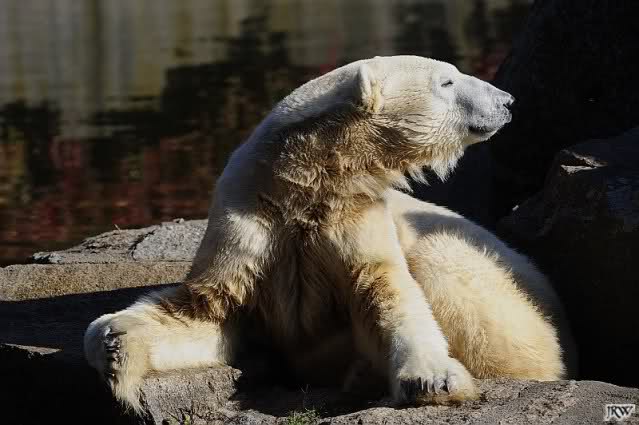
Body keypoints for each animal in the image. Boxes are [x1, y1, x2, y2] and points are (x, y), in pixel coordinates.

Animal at [84, 55, 577, 412]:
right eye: (448, 82)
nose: (507, 100)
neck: (301, 177)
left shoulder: (355, 215)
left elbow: (386, 289)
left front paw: (432, 379)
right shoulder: (248, 224)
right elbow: (205, 309)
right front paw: (113, 341)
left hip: (510, 292)